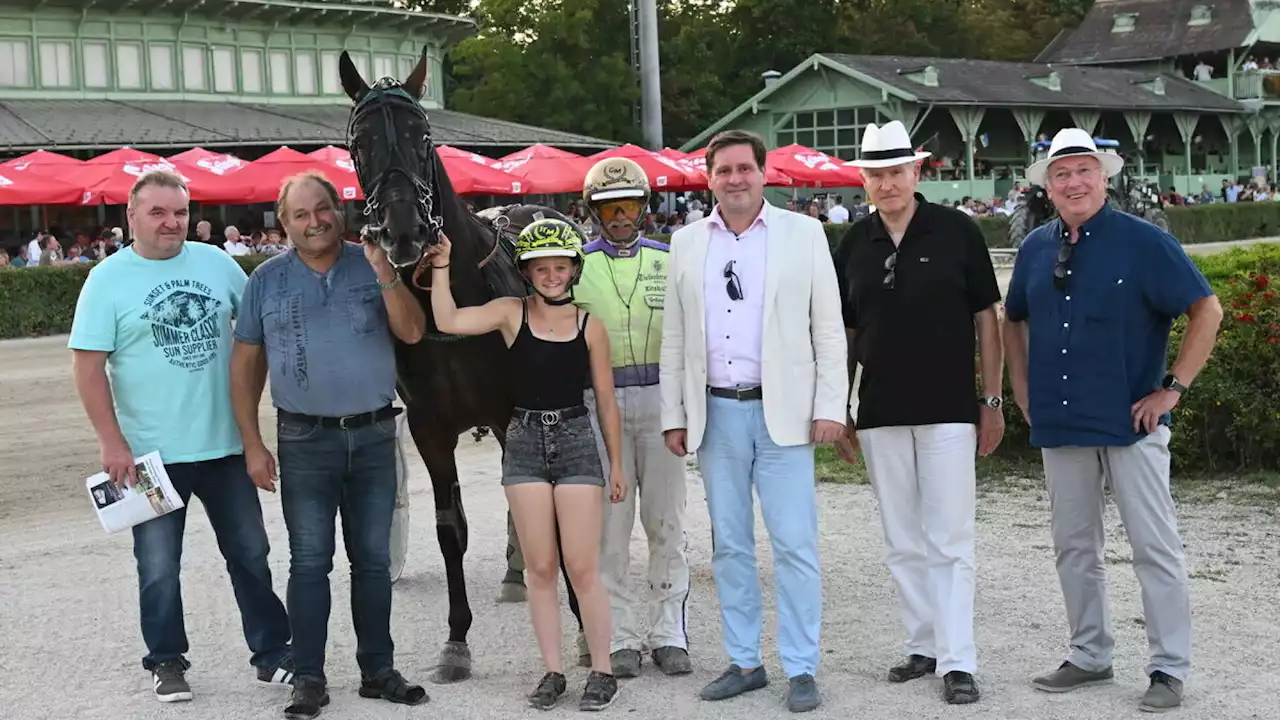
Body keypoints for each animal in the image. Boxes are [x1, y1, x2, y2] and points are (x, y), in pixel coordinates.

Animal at [345, 49, 588, 676]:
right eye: (359, 143)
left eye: (422, 135)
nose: (403, 231)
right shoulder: (428, 427)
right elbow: (449, 528)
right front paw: (457, 638)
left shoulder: (508, 412)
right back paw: (516, 572)